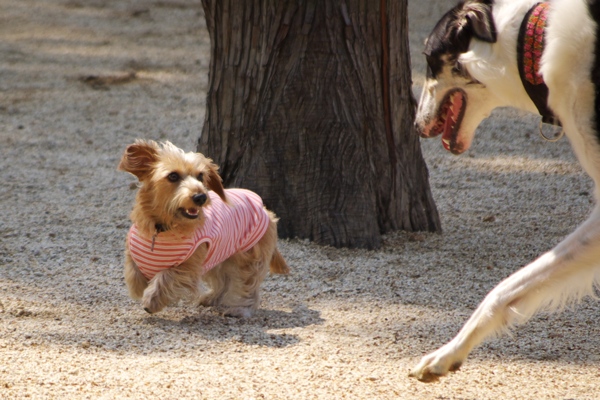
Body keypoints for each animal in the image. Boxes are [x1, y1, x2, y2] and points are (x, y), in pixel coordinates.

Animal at [118, 140, 289, 317]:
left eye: (200, 176)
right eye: (173, 175)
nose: (200, 197)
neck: (163, 229)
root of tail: (265, 210)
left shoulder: (188, 267)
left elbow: (167, 277)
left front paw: (152, 300)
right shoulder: (133, 253)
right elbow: (134, 276)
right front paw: (140, 288)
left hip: (249, 258)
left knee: (249, 286)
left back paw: (241, 309)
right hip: (220, 255)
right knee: (224, 281)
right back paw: (212, 298)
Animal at [410, 0, 600, 382]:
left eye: (427, 58)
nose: (416, 125)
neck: (537, 36)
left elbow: (501, 288)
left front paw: (445, 353)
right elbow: (503, 291)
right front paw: (447, 354)